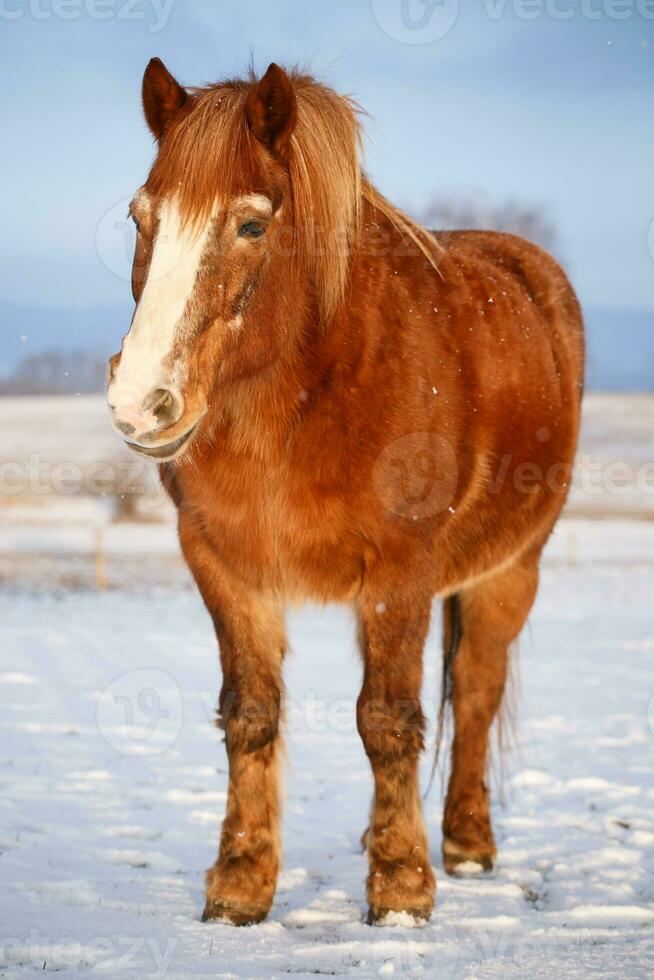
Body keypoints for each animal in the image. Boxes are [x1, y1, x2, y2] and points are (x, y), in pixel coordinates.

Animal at [106, 61, 584, 928]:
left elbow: (387, 718)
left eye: (251, 225)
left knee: (477, 689)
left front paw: (400, 889)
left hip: (512, 569)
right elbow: (250, 712)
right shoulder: (223, 565)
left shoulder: (401, 570)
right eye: (140, 216)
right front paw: (240, 883)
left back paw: (466, 845)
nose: (141, 402)